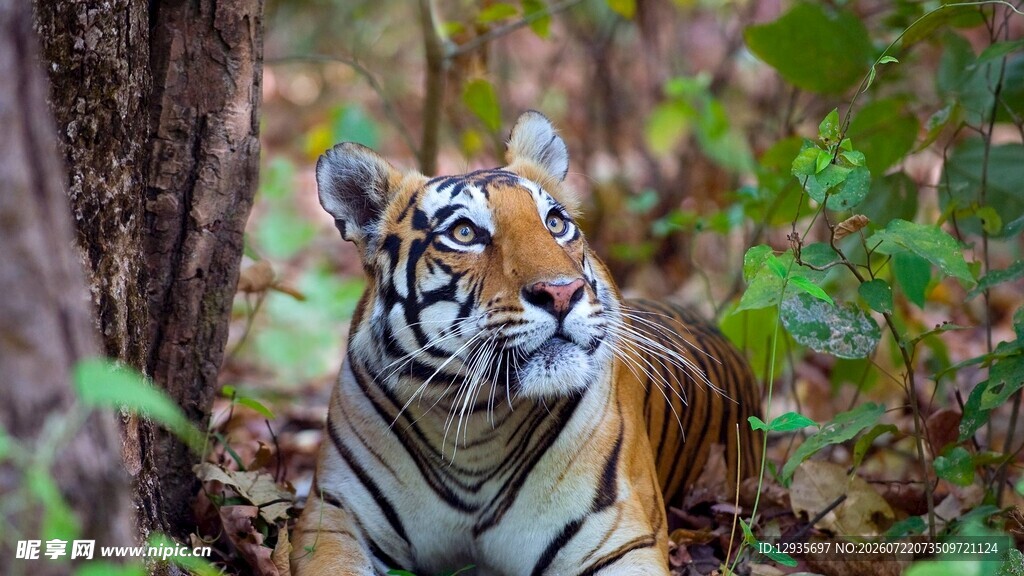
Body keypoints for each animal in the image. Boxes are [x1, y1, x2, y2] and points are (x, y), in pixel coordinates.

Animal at [290, 111, 761, 576]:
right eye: (464, 233)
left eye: (555, 223)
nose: (562, 292)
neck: (474, 428)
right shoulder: (335, 518)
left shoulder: (622, 543)